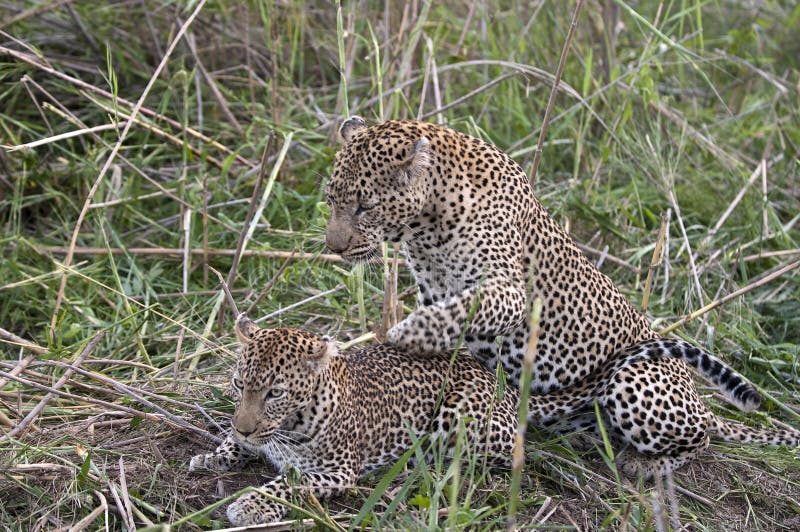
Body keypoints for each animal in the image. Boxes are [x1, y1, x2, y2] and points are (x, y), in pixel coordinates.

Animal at [324, 117, 800, 478]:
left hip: (633, 380)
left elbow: (464, 309)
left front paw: (410, 333)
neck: (428, 226)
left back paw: (643, 464)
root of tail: (701, 402)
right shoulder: (433, 287)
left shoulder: (509, 292)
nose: (334, 246)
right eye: (330, 199)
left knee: (700, 439)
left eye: (365, 206)